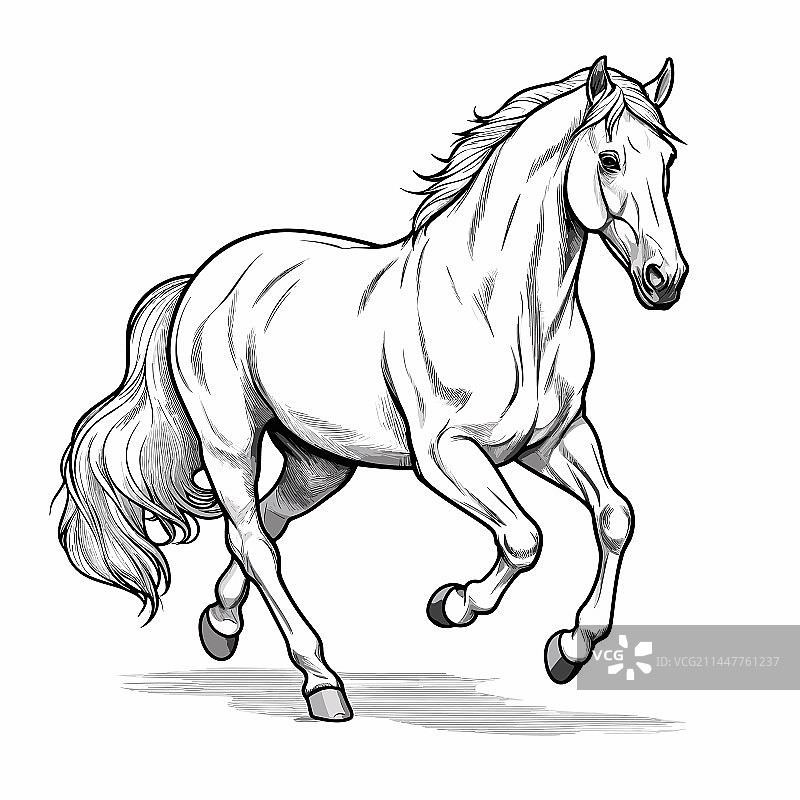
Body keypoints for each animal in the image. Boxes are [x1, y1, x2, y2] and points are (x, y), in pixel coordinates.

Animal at [58, 57, 688, 722]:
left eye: (669, 159)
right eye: (610, 159)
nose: (666, 279)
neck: (505, 313)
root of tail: (203, 280)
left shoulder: (552, 441)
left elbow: (615, 517)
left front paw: (570, 648)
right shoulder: (446, 454)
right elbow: (524, 538)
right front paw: (454, 604)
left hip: (320, 463)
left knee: (261, 526)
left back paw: (222, 625)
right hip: (231, 445)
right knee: (257, 545)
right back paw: (322, 684)